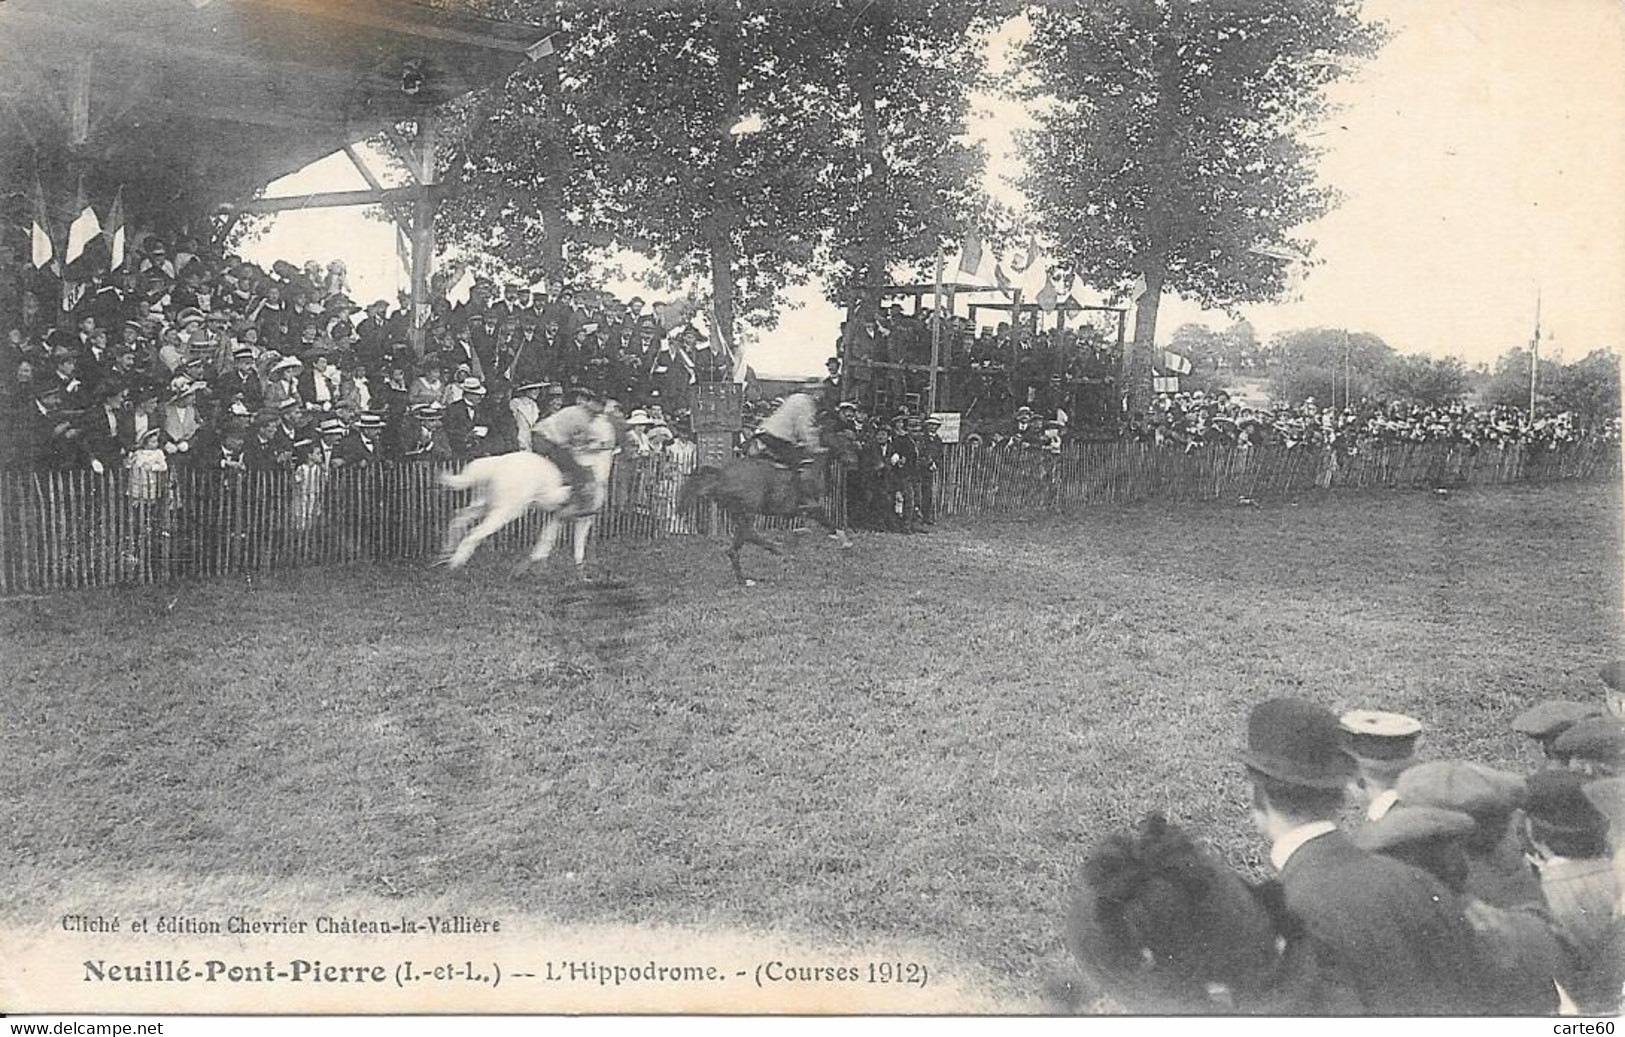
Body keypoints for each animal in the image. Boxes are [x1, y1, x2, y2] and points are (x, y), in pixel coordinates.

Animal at [438, 414, 627, 578]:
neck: (594, 465)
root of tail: (495, 465)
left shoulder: (560, 516)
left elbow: (545, 542)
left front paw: (529, 569)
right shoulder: (582, 518)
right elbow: (577, 548)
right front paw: (580, 574)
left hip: (484, 504)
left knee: (459, 519)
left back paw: (446, 553)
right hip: (505, 511)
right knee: (475, 534)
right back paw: (455, 564)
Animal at [679, 429, 864, 585]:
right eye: (848, 444)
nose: (854, 462)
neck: (811, 465)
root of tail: (720, 475)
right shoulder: (808, 504)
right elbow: (825, 518)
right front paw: (845, 541)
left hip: (740, 513)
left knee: (740, 542)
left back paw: (746, 578)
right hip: (748, 512)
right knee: (747, 535)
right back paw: (773, 551)